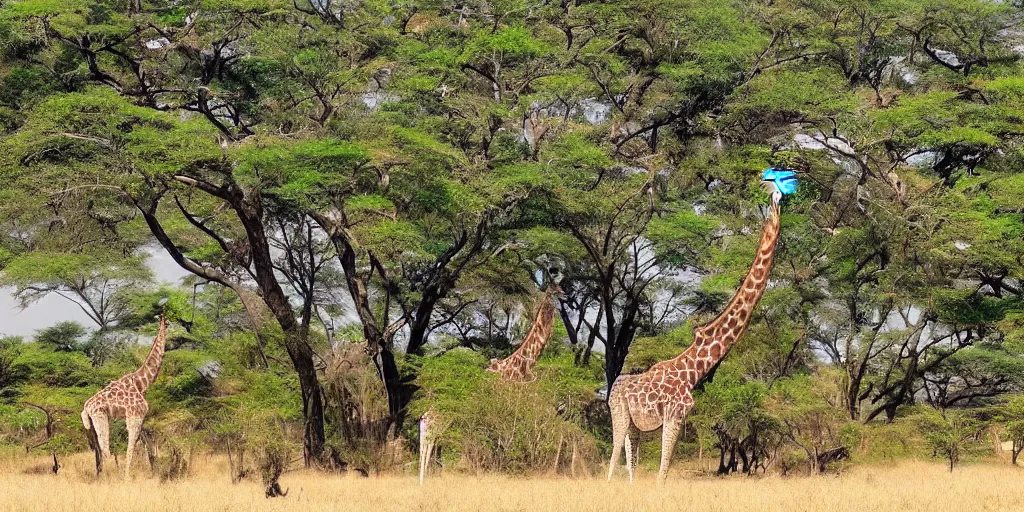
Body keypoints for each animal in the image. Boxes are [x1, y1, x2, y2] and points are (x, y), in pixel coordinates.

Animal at [81, 305, 168, 477]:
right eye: (167, 323)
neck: (142, 383)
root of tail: (86, 408)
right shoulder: (134, 416)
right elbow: (131, 450)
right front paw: (128, 476)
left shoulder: (140, 418)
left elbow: (147, 447)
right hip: (100, 417)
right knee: (105, 450)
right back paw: (113, 475)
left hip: (92, 425)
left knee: (98, 453)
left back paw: (100, 476)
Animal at [417, 278, 569, 481]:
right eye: (555, 289)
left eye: (561, 287)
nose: (565, 295)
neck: (520, 365)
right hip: (443, 416)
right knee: (432, 437)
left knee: (434, 438)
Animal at [606, 168, 798, 483]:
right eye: (780, 178)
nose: (787, 196)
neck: (694, 369)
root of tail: (610, 389)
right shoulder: (675, 414)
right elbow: (662, 474)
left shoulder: (673, 418)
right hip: (619, 414)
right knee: (611, 463)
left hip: (634, 424)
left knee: (630, 464)